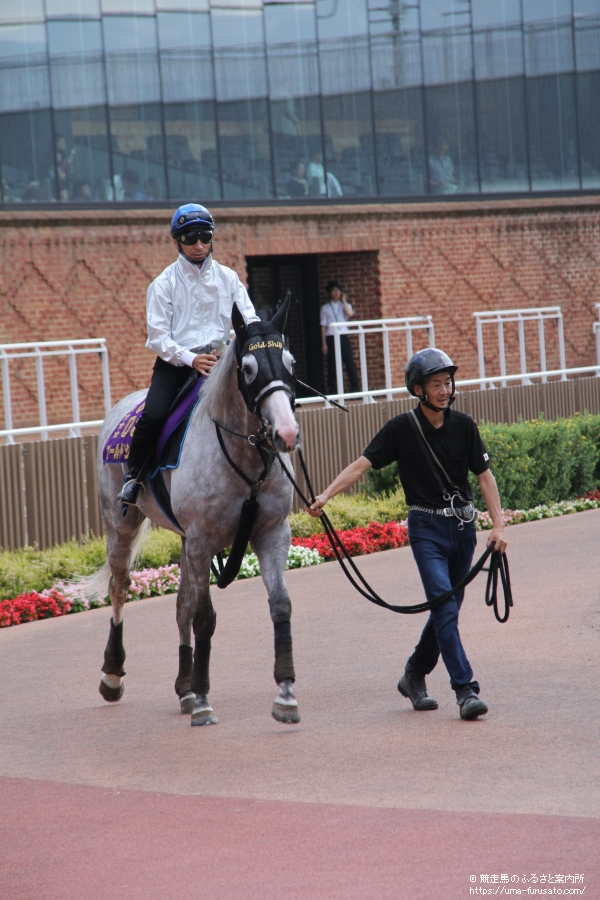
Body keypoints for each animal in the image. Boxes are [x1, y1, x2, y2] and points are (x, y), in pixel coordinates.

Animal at [91, 298, 302, 728]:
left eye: (290, 361)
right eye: (248, 368)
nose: (286, 433)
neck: (244, 457)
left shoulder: (272, 533)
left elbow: (279, 605)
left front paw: (286, 694)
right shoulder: (203, 541)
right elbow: (205, 617)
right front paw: (204, 700)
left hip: (185, 541)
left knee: (181, 603)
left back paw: (184, 687)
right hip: (121, 525)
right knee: (120, 587)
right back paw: (113, 674)